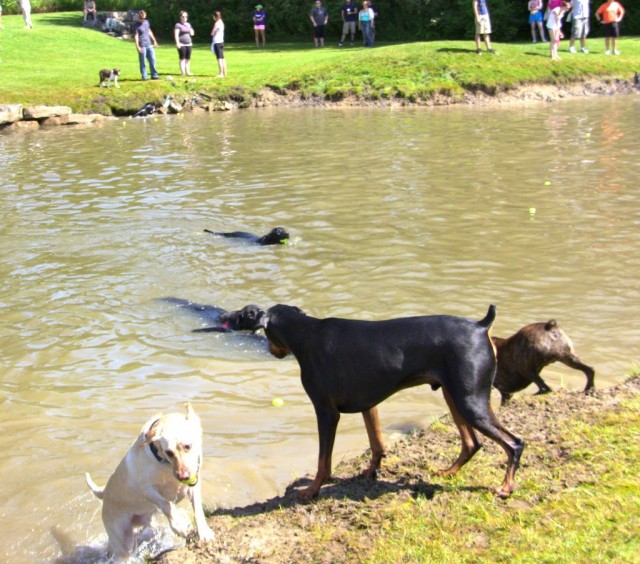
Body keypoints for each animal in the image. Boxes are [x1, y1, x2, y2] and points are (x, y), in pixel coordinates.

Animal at [85, 404, 214, 556]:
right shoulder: (146, 489)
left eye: (188, 446)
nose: (183, 476)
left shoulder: (194, 484)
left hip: (147, 523)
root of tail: (104, 493)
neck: (165, 464)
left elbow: (198, 509)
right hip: (123, 541)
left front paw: (204, 532)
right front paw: (179, 526)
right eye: (169, 452)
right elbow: (166, 504)